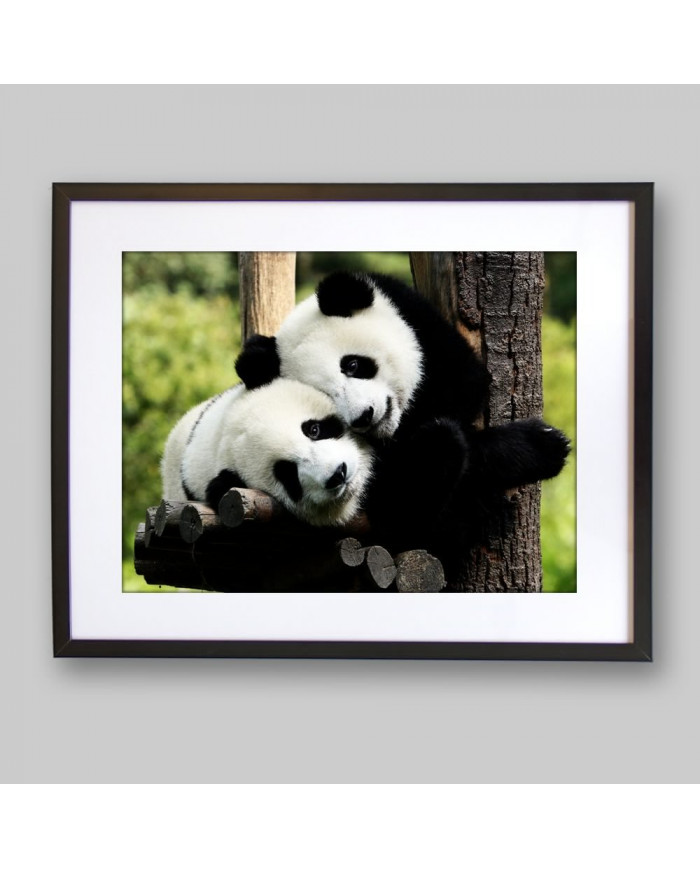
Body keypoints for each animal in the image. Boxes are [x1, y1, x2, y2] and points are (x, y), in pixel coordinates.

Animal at [235, 271, 570, 571]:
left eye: (352, 365)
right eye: (326, 395)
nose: (364, 416)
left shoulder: (421, 325)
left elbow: (466, 386)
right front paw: (542, 447)